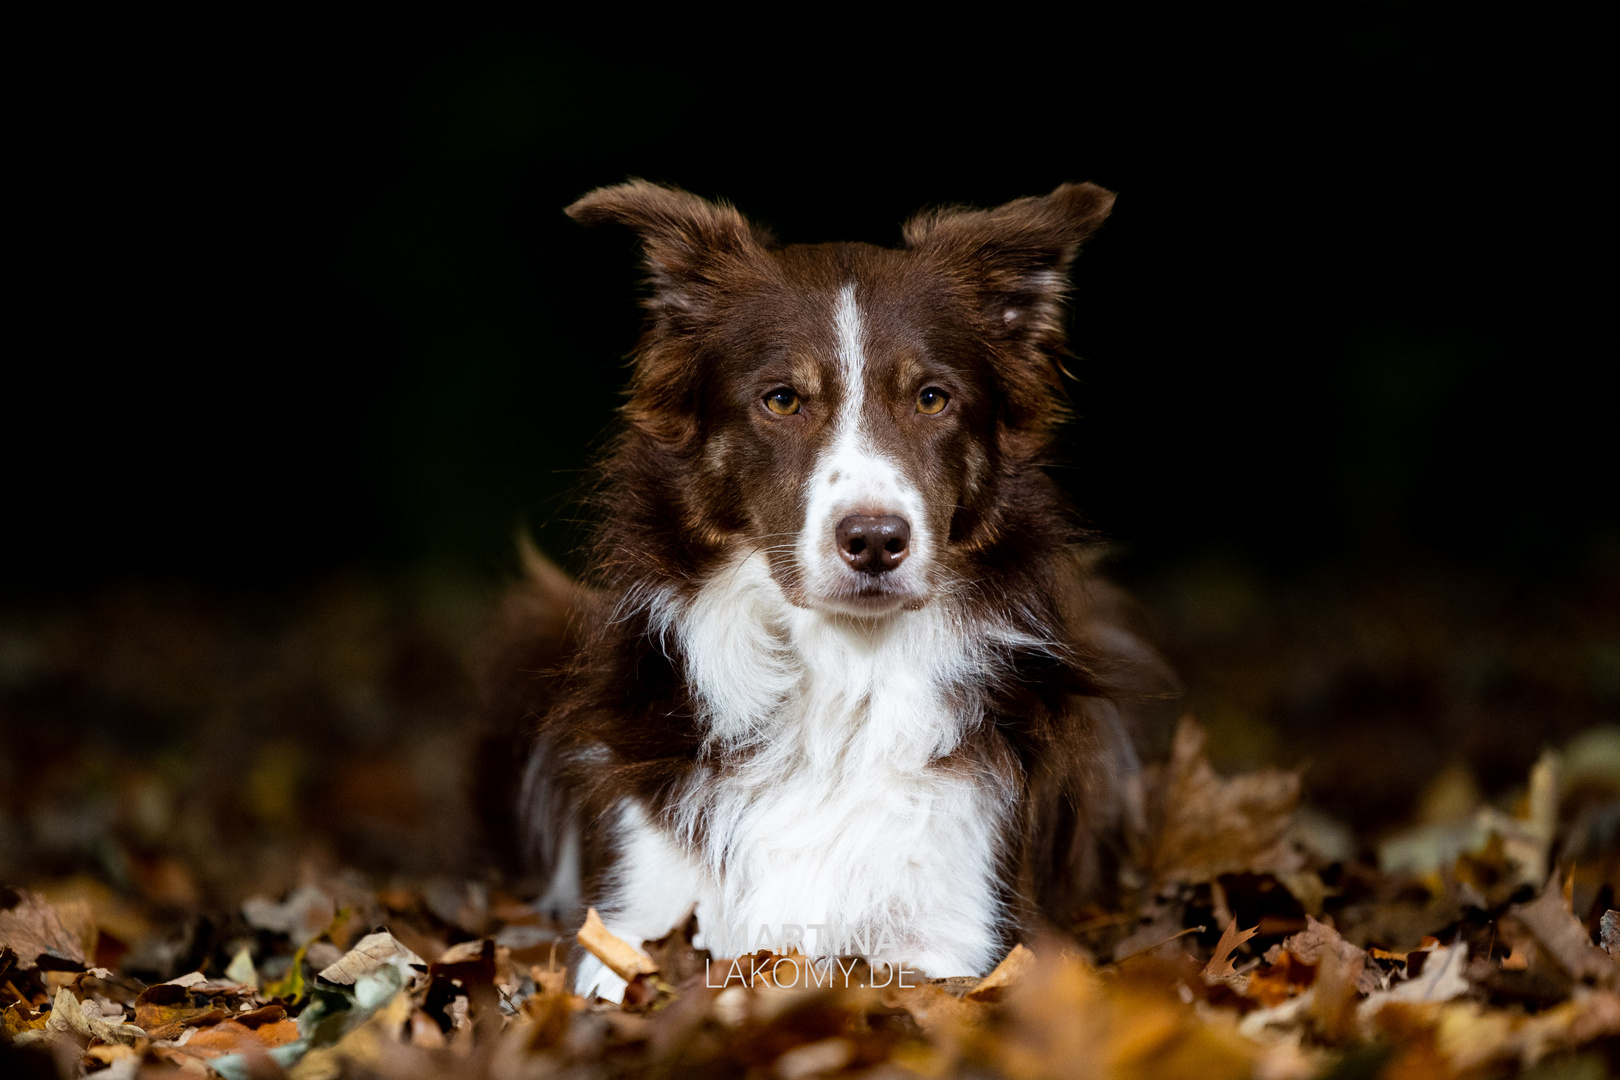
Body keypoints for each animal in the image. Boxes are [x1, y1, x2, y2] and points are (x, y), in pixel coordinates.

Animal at [473, 181, 1185, 1003]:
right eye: (782, 400)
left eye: (932, 398)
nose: (875, 540)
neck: (841, 680)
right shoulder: (632, 924)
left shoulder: (952, 939)